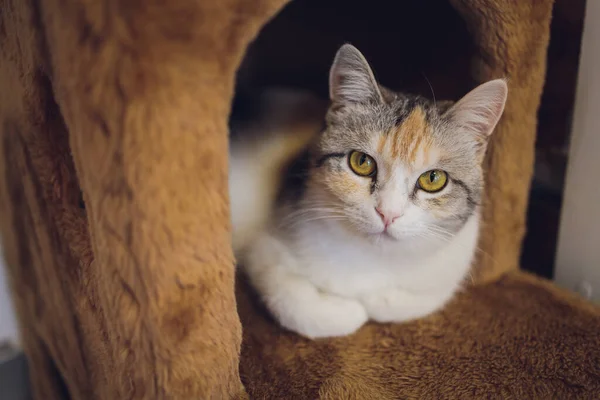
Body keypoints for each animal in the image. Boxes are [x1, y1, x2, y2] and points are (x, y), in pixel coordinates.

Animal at [230, 43, 506, 340]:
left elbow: (419, 299)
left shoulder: (452, 265)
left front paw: (376, 300)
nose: (388, 213)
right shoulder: (263, 247)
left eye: (433, 178)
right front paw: (348, 310)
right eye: (361, 162)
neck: (373, 257)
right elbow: (289, 294)